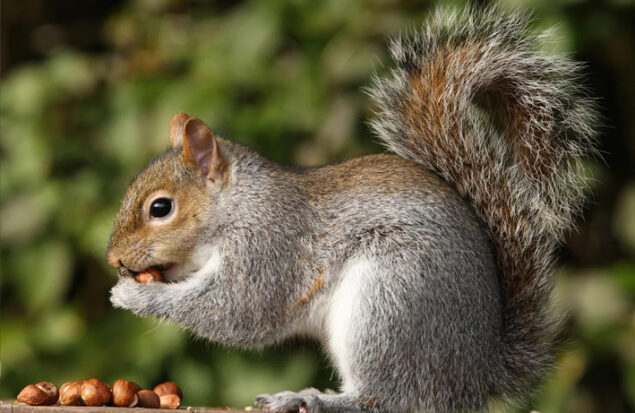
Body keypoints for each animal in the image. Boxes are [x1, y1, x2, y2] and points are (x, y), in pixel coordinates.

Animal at [107, 6, 600, 412]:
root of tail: (476, 376)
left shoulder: (269, 247)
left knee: (387, 399)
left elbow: (238, 310)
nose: (113, 259)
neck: (240, 205)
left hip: (388, 302)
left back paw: (314, 399)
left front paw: (134, 296)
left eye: (161, 208)